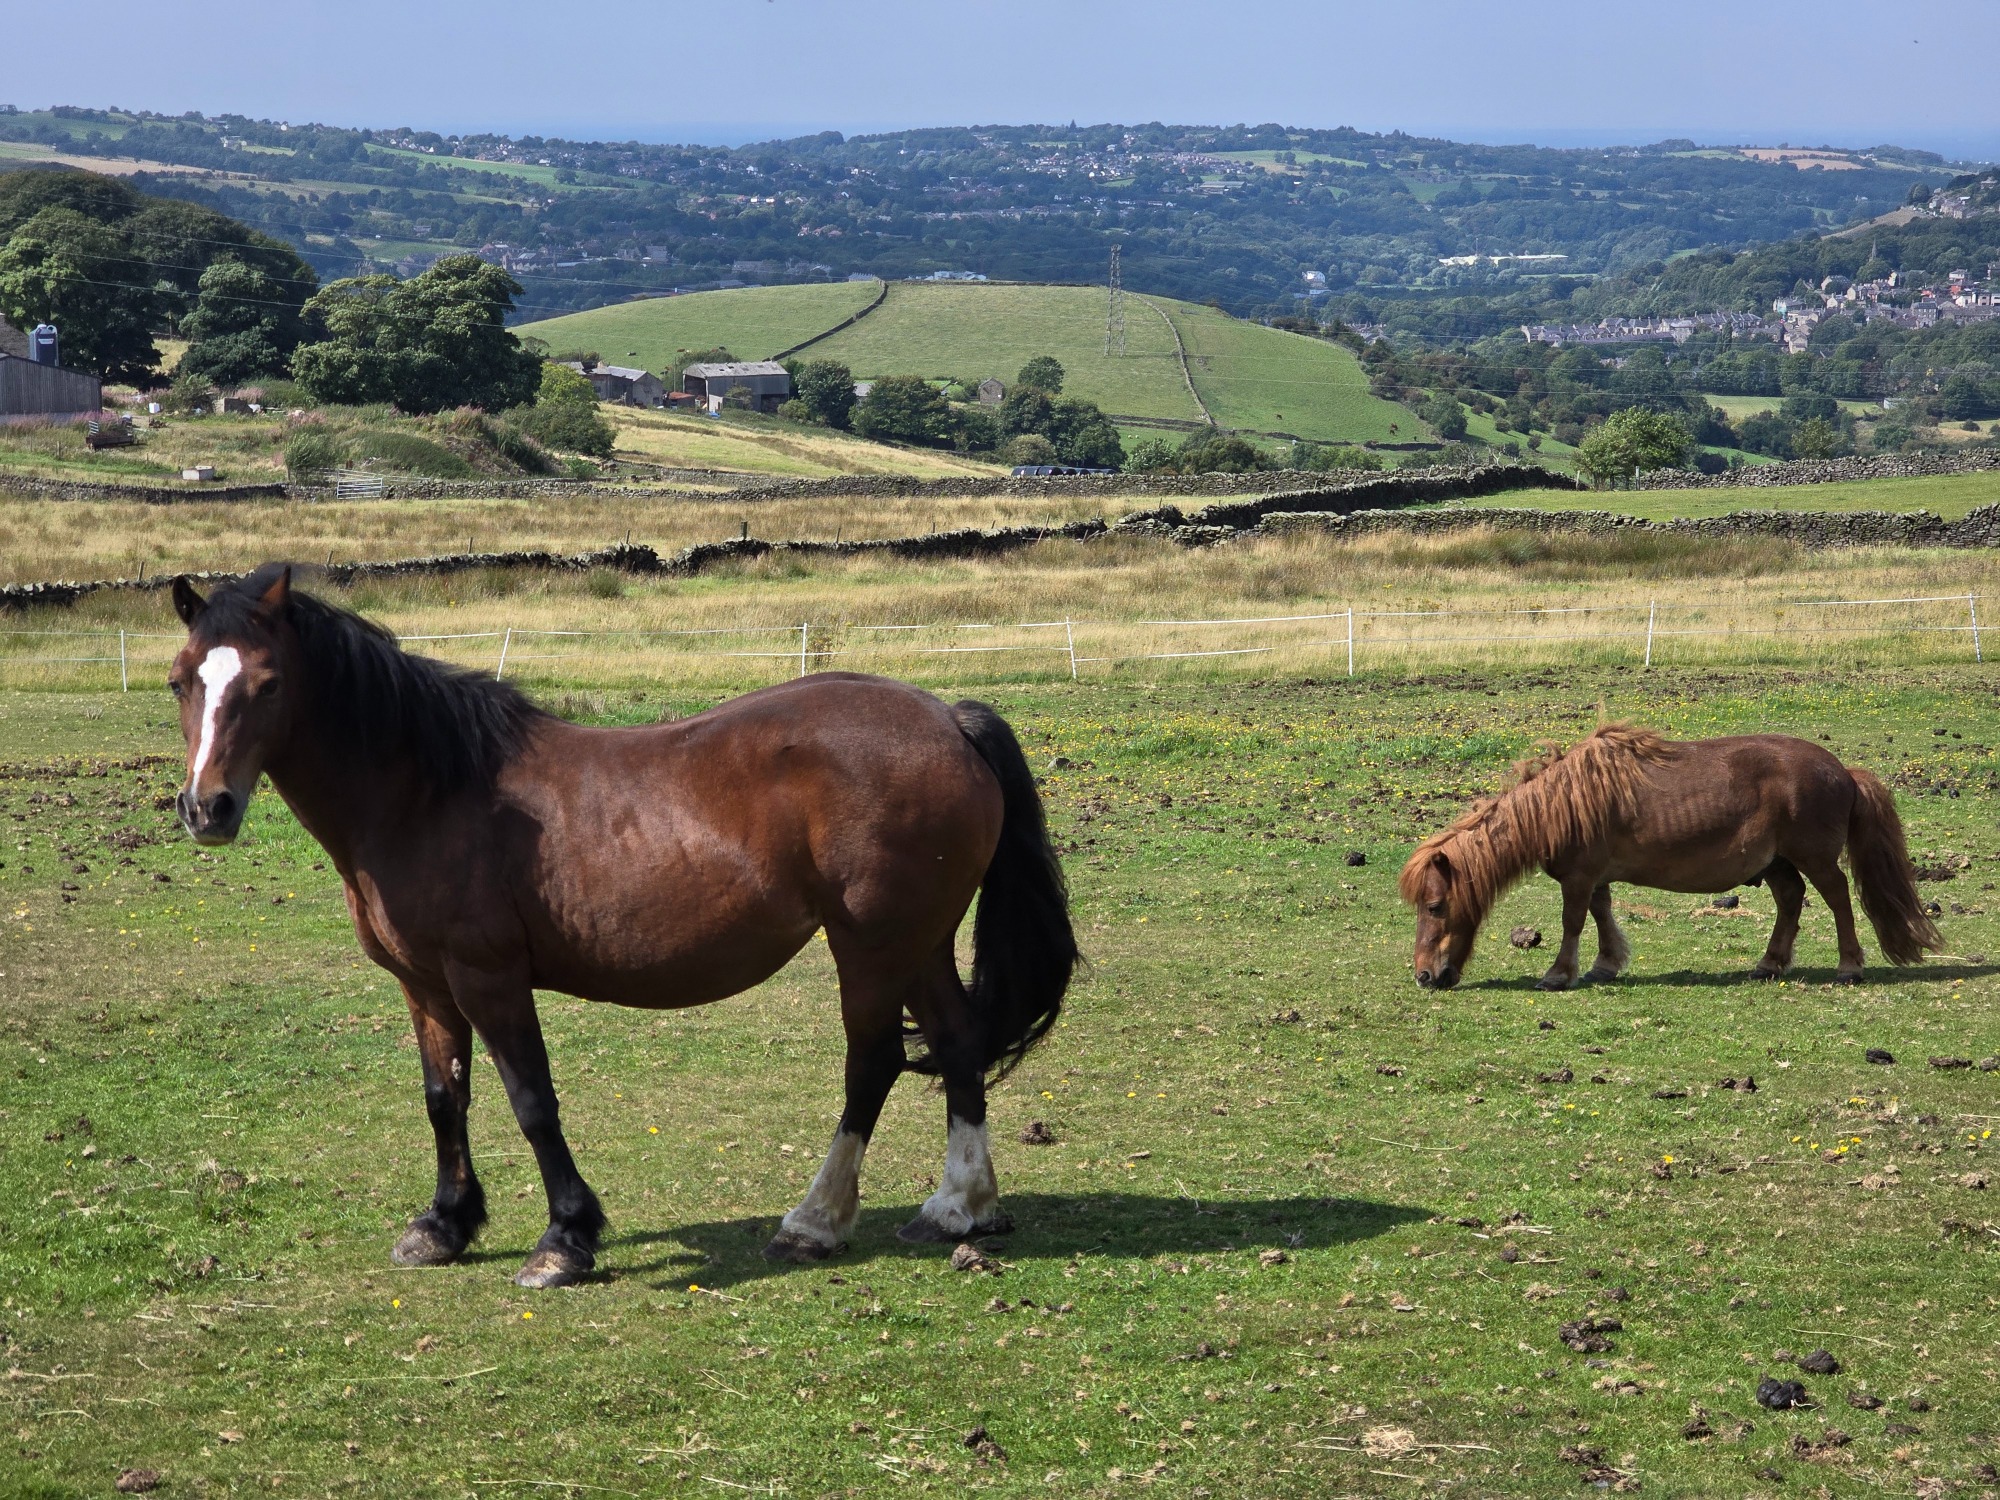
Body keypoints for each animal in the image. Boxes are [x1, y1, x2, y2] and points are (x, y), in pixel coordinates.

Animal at [166, 564, 1078, 1288]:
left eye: (269, 682)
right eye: (181, 680)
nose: (207, 808)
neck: (429, 790)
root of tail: (948, 720)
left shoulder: (488, 977)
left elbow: (532, 1101)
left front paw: (565, 1240)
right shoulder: (424, 985)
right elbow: (443, 1099)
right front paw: (445, 1225)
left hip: (872, 945)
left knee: (874, 1061)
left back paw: (814, 1221)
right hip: (917, 941)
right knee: (958, 1041)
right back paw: (959, 1207)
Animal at [1399, 724, 1939, 991]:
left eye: (1435, 907)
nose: (1424, 976)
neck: (1564, 804)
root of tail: (1843, 771)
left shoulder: (1578, 877)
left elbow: (1573, 922)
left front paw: (1558, 975)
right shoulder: (1597, 878)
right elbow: (1602, 915)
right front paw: (1604, 966)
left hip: (1815, 858)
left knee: (1838, 899)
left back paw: (1849, 967)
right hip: (1777, 863)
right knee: (1791, 900)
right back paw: (1769, 964)